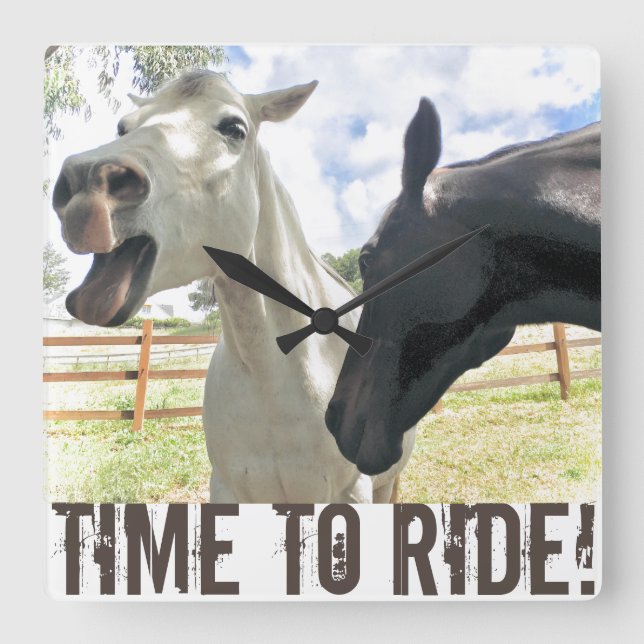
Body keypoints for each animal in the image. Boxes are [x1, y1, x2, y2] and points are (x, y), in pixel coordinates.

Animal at [52, 70, 414, 502]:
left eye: (234, 129)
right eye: (123, 127)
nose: (87, 182)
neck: (276, 376)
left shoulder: (351, 491)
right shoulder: (228, 489)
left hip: (386, 483)